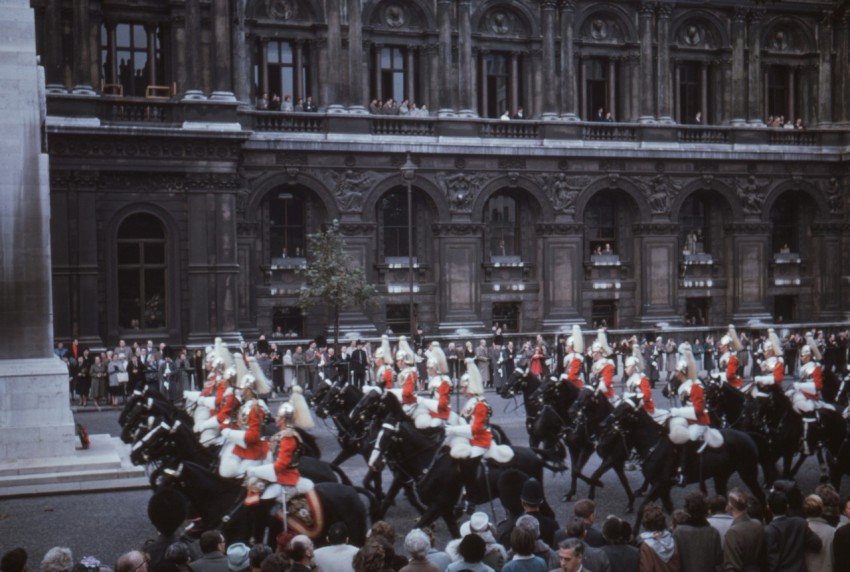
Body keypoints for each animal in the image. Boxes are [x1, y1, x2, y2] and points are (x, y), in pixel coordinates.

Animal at [596, 402, 768, 528]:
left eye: (625, 411)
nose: (603, 424)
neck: (653, 444)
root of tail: (747, 435)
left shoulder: (659, 485)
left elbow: (642, 509)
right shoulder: (663, 489)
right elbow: (670, 509)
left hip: (748, 472)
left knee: (761, 495)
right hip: (721, 476)